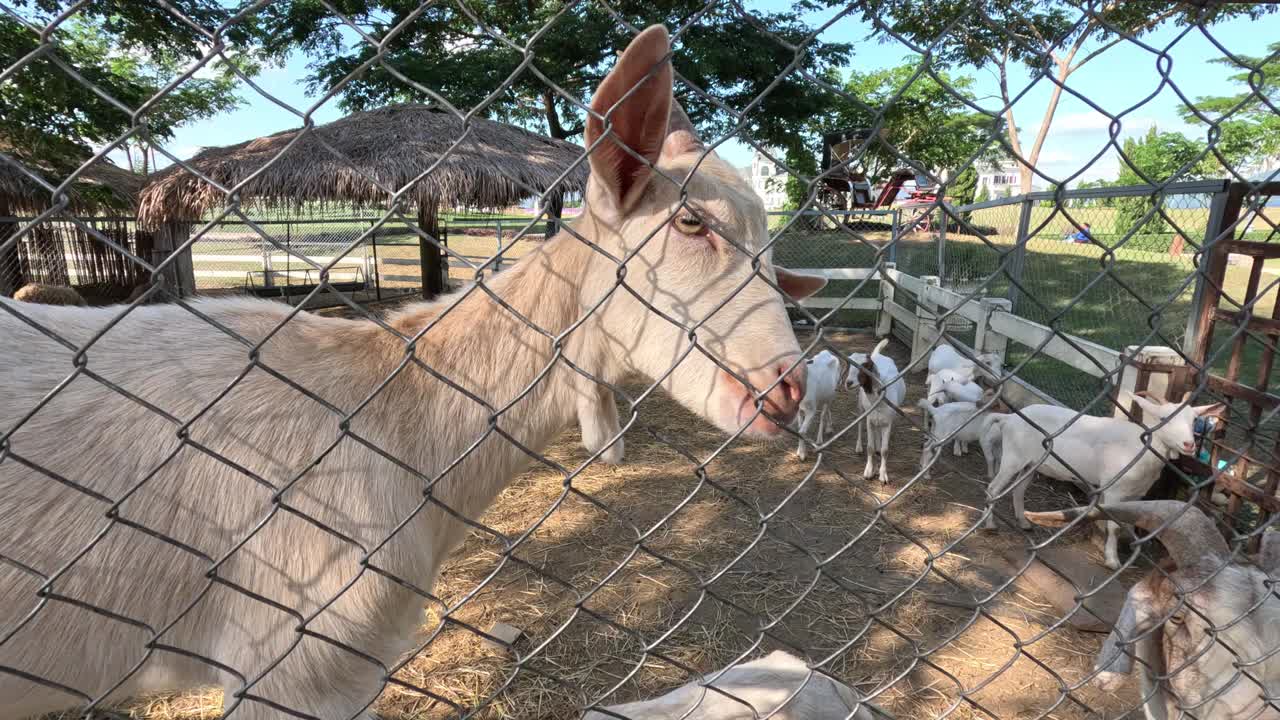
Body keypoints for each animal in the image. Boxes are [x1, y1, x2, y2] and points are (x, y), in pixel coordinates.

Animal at [855, 338, 906, 484]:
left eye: (866, 366)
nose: (848, 382)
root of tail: (878, 355)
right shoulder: (869, 420)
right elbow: (869, 447)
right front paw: (868, 472)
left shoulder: (888, 422)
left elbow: (884, 450)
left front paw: (883, 475)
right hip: (861, 407)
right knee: (859, 423)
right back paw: (858, 447)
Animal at [983, 392, 1223, 566]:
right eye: (1163, 419)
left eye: (1194, 420)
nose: (1189, 445)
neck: (1141, 447)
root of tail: (1008, 418)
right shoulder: (1114, 489)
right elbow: (1114, 526)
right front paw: (1112, 561)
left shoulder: (1136, 493)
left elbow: (1129, 521)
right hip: (1013, 457)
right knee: (993, 489)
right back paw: (990, 525)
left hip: (1031, 463)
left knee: (1018, 489)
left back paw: (1024, 523)